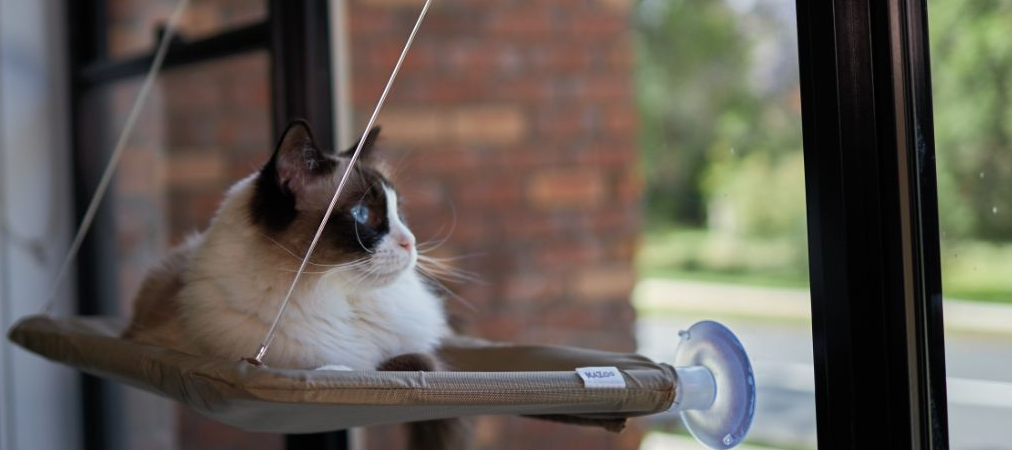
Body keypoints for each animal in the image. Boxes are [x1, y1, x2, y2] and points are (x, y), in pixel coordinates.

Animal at [123, 119, 465, 448]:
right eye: (362, 214)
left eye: (398, 211)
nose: (411, 242)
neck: (338, 298)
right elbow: (363, 370)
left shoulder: (421, 358)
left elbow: (414, 363)